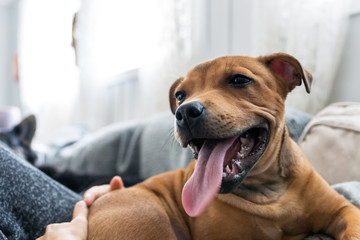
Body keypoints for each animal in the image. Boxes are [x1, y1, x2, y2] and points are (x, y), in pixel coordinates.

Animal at [87, 53, 360, 239]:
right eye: (180, 96)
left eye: (239, 80)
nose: (185, 112)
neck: (267, 190)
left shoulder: (344, 211)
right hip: (150, 220)